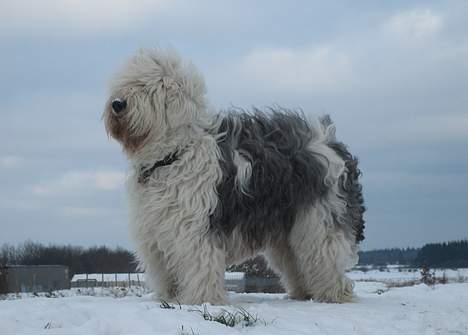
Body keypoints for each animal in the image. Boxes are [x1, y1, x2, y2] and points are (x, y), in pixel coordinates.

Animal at [104, 48, 368, 306]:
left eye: (145, 86)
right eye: (124, 83)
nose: (117, 104)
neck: (174, 153)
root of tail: (329, 140)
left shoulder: (195, 231)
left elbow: (198, 266)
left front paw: (200, 301)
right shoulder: (157, 230)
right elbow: (165, 271)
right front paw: (168, 298)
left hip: (321, 220)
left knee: (326, 258)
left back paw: (334, 295)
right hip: (290, 229)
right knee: (297, 261)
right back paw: (301, 293)